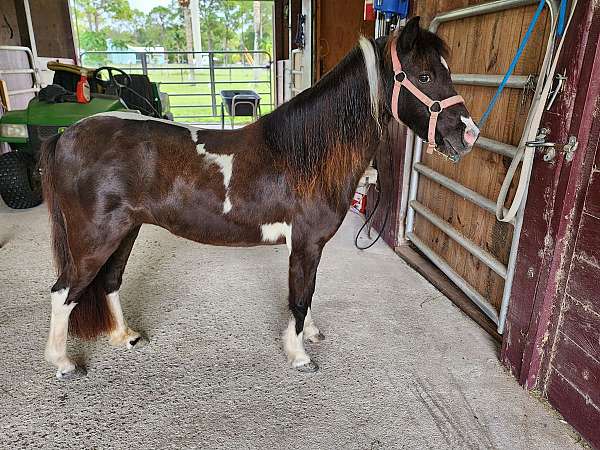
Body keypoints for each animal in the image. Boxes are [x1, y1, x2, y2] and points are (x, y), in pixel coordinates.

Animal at [41, 16, 478, 380]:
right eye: (424, 74)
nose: (468, 135)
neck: (306, 154)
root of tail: (67, 136)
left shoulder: (308, 247)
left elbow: (308, 293)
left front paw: (310, 335)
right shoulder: (305, 244)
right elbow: (299, 298)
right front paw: (299, 355)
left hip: (125, 231)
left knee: (109, 281)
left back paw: (124, 337)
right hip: (94, 239)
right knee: (64, 292)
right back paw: (63, 363)